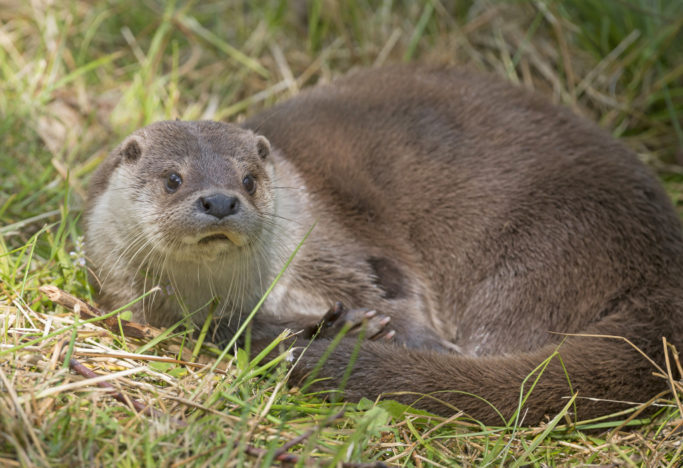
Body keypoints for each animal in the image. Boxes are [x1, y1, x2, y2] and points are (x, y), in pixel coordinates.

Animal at [85, 66, 683, 424]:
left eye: (250, 179)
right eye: (174, 179)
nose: (220, 201)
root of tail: (664, 262)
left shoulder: (337, 243)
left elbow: (395, 291)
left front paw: (391, 336)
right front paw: (334, 328)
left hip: (543, 250)